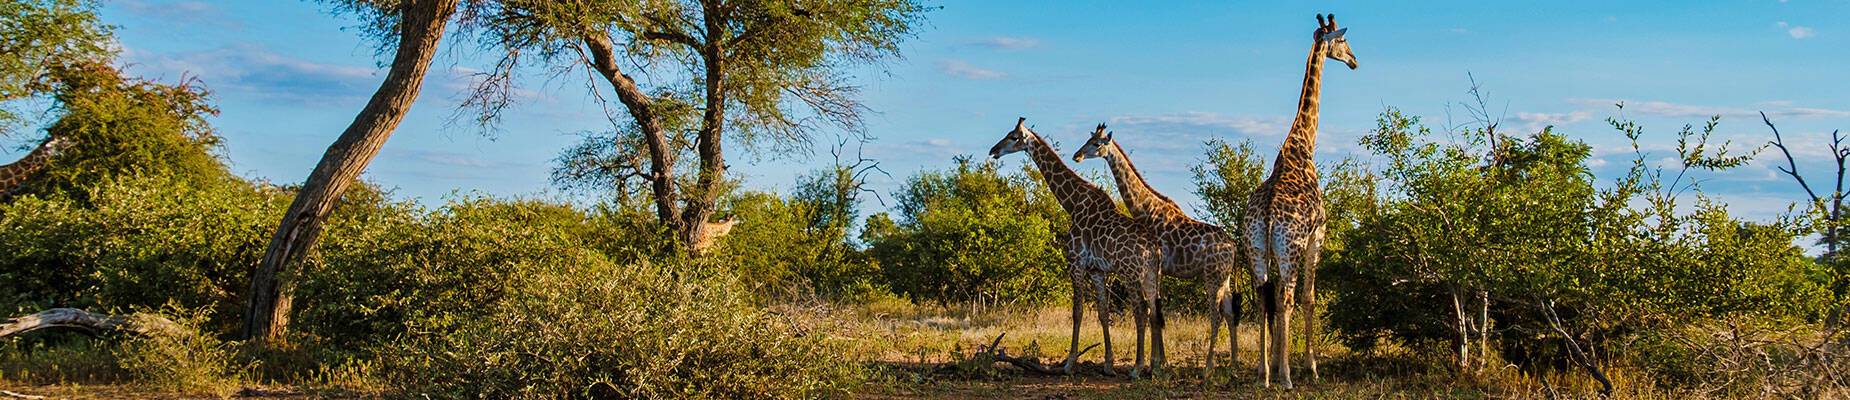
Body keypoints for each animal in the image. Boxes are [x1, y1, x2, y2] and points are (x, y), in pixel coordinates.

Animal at [989, 117, 1168, 377]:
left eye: (1013, 137)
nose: (993, 150)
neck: (1072, 204)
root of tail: (1154, 249)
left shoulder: (1076, 262)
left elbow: (1078, 311)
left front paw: (1069, 363)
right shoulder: (1097, 270)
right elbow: (1103, 312)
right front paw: (1108, 365)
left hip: (1130, 274)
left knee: (1141, 311)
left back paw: (1137, 368)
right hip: (1152, 275)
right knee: (1154, 311)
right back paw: (1154, 366)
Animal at [1072, 124, 1249, 380]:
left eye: (1096, 143)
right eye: (1088, 139)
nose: (1077, 156)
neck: (1145, 208)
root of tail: (1234, 247)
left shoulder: (1158, 267)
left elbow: (1155, 311)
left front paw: (1156, 363)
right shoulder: (1160, 269)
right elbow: (1157, 310)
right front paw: (1160, 362)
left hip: (1212, 276)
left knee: (1215, 315)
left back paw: (1208, 367)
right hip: (1223, 277)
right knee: (1229, 312)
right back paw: (1233, 363)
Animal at [1244, 14, 1357, 389]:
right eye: (1343, 42)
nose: (1354, 61)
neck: (1302, 145)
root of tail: (1266, 215)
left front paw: (1275, 365)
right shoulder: (1316, 237)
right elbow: (1309, 299)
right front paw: (1310, 366)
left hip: (1257, 249)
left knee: (1264, 297)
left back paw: (1264, 374)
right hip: (1290, 248)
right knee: (1288, 298)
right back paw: (1288, 377)